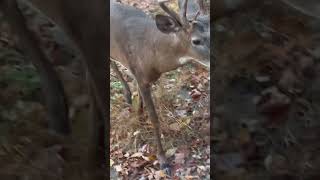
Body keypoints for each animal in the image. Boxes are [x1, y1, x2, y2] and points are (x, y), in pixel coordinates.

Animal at [110, 0, 210, 173]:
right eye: (196, 41)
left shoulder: (139, 76)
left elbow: (140, 102)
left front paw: (138, 118)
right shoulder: (141, 77)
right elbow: (154, 118)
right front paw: (163, 160)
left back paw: (127, 96)